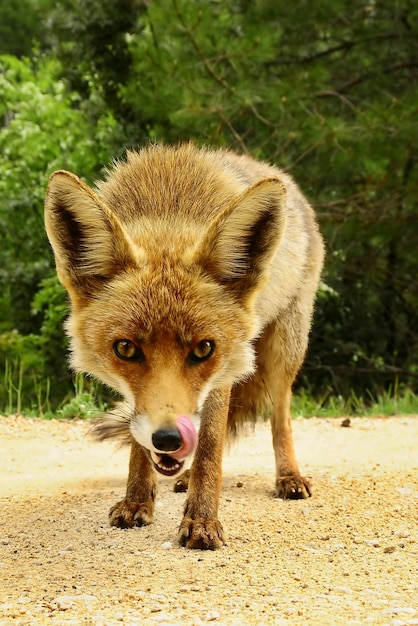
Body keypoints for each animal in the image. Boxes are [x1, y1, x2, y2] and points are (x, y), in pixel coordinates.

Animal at [44, 141, 324, 544]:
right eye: (125, 349)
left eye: (203, 349)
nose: (167, 439)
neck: (167, 211)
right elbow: (140, 440)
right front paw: (137, 500)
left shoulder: (223, 368)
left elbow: (210, 444)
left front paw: (202, 520)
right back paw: (184, 475)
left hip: (284, 349)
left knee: (278, 418)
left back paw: (288, 477)